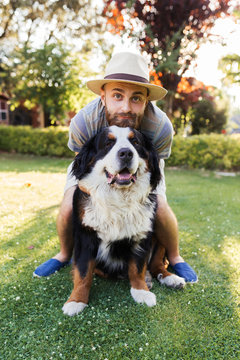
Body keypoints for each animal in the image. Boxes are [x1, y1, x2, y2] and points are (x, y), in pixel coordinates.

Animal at [61, 125, 184, 316]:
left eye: (135, 142)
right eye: (108, 143)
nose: (126, 153)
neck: (119, 198)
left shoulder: (142, 234)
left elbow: (137, 267)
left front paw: (141, 291)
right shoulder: (85, 236)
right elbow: (83, 272)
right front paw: (76, 300)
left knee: (157, 265)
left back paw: (170, 279)